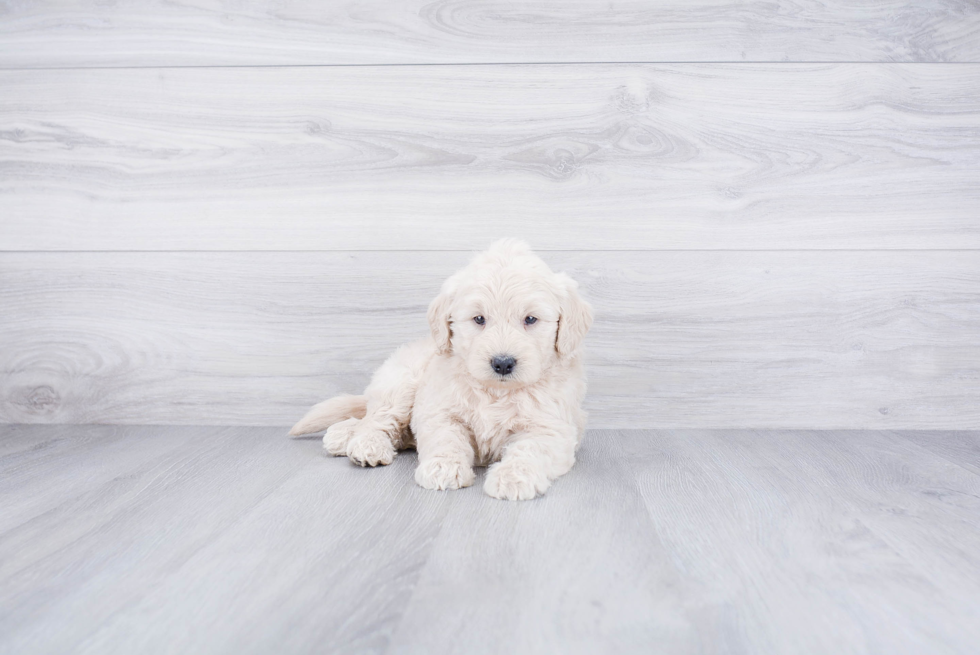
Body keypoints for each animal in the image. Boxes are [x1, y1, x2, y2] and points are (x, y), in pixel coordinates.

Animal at [290, 241, 592, 502]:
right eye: (479, 319)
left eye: (530, 319)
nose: (503, 363)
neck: (495, 392)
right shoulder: (439, 410)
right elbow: (445, 439)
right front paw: (444, 468)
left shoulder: (551, 427)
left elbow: (531, 448)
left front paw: (513, 477)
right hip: (401, 382)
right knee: (376, 419)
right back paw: (363, 443)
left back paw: (342, 435)